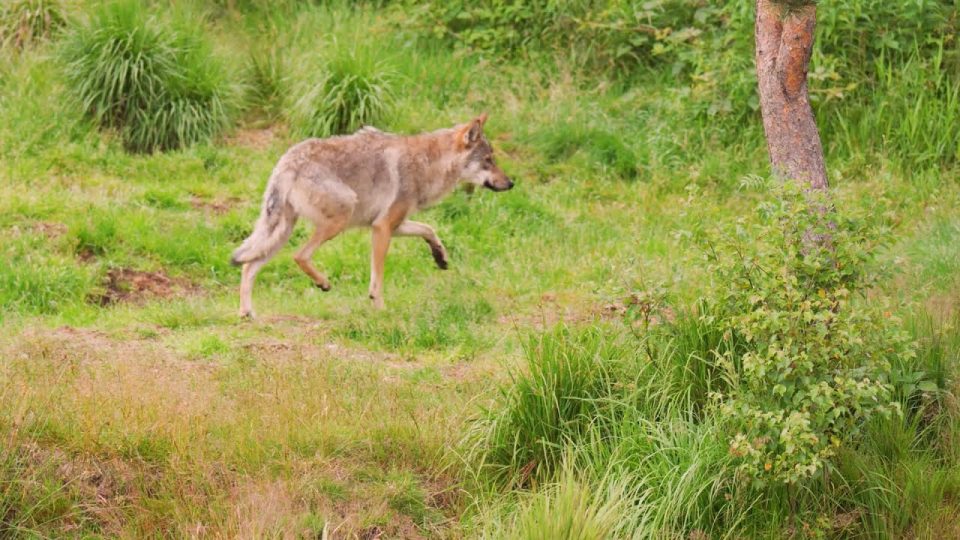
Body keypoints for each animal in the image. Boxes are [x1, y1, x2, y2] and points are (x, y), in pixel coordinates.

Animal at [230, 114, 513, 318]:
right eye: (489, 160)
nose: (511, 183)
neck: (427, 164)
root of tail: (286, 163)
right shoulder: (382, 228)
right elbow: (377, 278)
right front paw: (380, 309)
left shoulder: (393, 224)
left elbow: (429, 229)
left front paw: (440, 257)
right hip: (337, 219)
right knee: (299, 256)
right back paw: (323, 283)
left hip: (281, 232)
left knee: (247, 266)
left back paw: (247, 313)